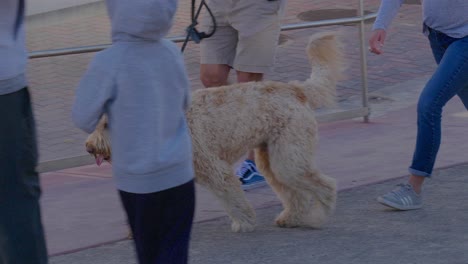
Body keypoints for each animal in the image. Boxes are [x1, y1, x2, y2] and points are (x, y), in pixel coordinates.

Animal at [86, 32, 346, 232]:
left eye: (107, 124)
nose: (89, 147)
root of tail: (295, 88)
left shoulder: (215, 170)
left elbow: (232, 199)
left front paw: (244, 222)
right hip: (274, 157)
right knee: (296, 193)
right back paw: (291, 218)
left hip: (289, 158)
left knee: (325, 186)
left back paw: (317, 218)